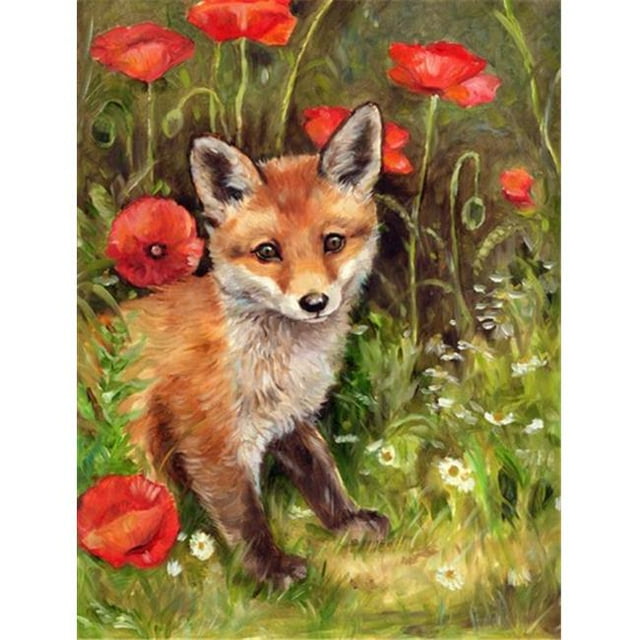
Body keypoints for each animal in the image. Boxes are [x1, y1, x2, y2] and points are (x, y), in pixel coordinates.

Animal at [121, 103, 390, 588]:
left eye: (333, 242)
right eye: (267, 252)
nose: (314, 302)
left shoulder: (290, 419)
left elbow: (322, 474)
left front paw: (347, 520)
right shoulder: (209, 439)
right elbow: (245, 516)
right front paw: (269, 570)